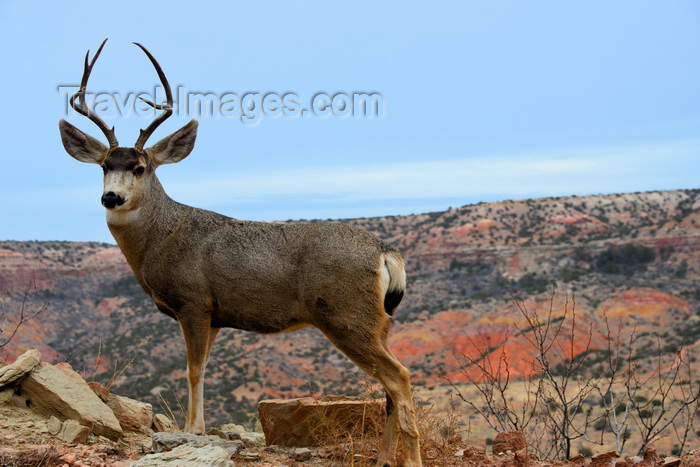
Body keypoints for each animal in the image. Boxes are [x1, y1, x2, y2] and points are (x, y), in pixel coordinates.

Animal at [58, 39, 422, 464]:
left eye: (140, 168)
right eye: (103, 165)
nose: (111, 197)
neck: (163, 238)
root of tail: (386, 253)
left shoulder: (193, 301)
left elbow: (193, 370)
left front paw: (192, 430)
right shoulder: (216, 316)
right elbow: (203, 367)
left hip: (347, 315)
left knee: (399, 377)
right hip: (380, 321)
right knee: (389, 387)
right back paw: (384, 458)